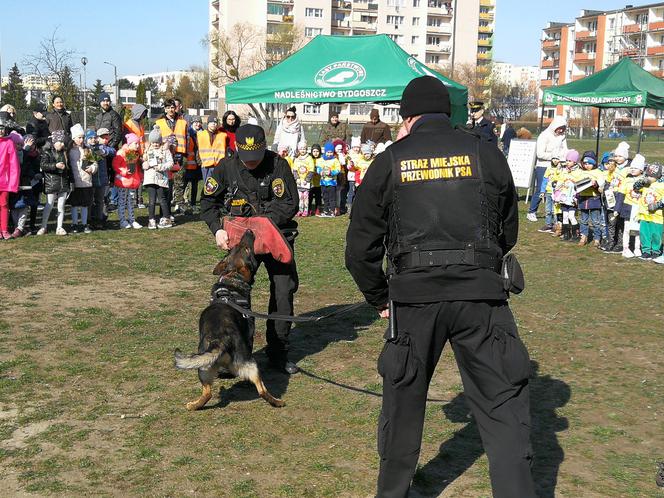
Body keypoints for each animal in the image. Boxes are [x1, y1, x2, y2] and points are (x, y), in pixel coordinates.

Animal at [172, 230, 284, 408]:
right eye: (247, 249)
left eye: (235, 247)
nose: (249, 231)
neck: (232, 278)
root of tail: (220, 341)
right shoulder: (249, 335)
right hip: (250, 363)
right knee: (261, 389)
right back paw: (278, 402)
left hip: (203, 369)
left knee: (208, 393)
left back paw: (194, 405)